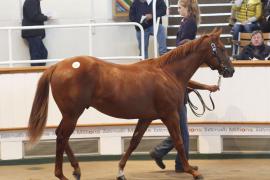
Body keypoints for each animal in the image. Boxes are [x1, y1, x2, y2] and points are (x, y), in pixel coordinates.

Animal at [26, 28, 234, 180]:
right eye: (222, 49)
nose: (230, 71)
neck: (167, 73)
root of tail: (57, 66)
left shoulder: (146, 117)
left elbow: (134, 142)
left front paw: (120, 171)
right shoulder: (170, 115)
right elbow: (179, 141)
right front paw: (193, 171)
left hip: (71, 114)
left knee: (61, 136)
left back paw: (76, 170)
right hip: (72, 114)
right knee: (62, 136)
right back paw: (62, 174)